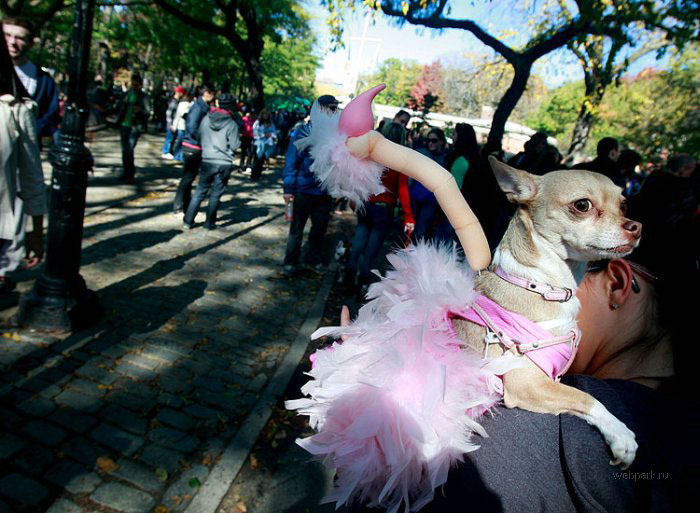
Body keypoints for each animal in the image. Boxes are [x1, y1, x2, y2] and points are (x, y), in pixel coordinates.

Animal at [452, 157, 644, 468]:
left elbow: (573, 394)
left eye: (624, 204)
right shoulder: (526, 382)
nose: (636, 226)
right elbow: (584, 397)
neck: (542, 285)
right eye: (582, 205)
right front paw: (620, 432)